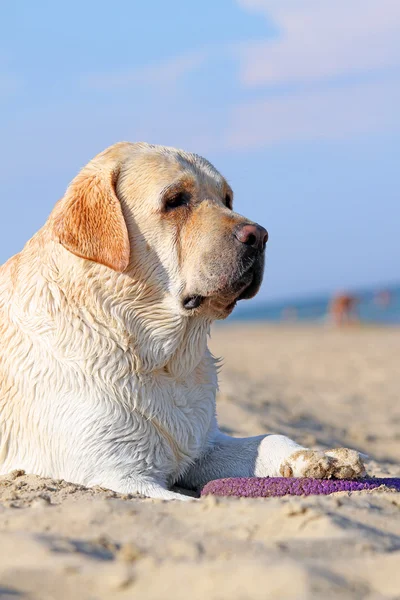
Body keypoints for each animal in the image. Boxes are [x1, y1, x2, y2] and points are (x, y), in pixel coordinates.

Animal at [0, 143, 366, 500]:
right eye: (175, 200)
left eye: (227, 199)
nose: (259, 235)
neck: (159, 355)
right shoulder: (120, 475)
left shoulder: (202, 442)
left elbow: (268, 439)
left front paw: (322, 458)